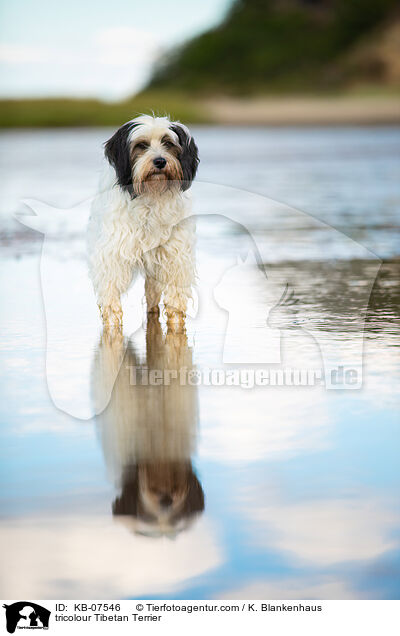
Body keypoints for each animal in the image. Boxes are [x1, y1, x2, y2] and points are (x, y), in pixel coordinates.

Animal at [88, 114, 200, 330]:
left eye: (168, 143)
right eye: (141, 145)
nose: (160, 161)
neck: (151, 193)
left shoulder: (174, 256)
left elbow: (175, 299)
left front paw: (176, 326)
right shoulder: (113, 254)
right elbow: (110, 295)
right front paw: (112, 325)